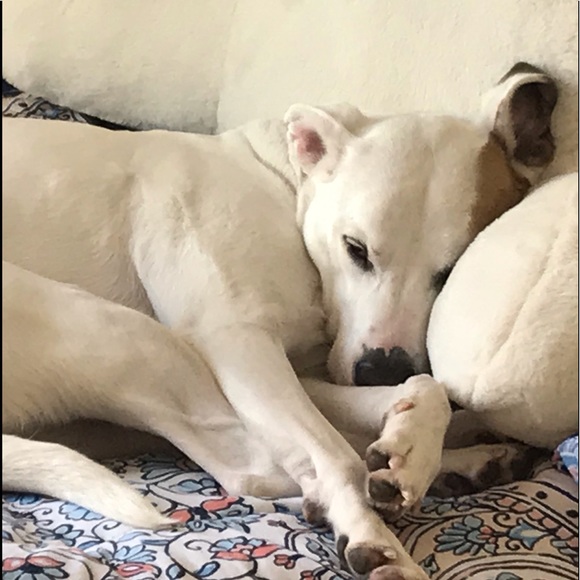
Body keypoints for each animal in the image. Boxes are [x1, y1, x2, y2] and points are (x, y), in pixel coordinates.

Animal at [2, 62, 557, 579]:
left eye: (452, 271)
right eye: (355, 249)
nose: (380, 368)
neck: (282, 185)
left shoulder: (290, 370)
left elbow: (420, 390)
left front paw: (411, 446)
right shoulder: (240, 345)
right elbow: (333, 456)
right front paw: (373, 535)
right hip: (122, 336)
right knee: (256, 469)